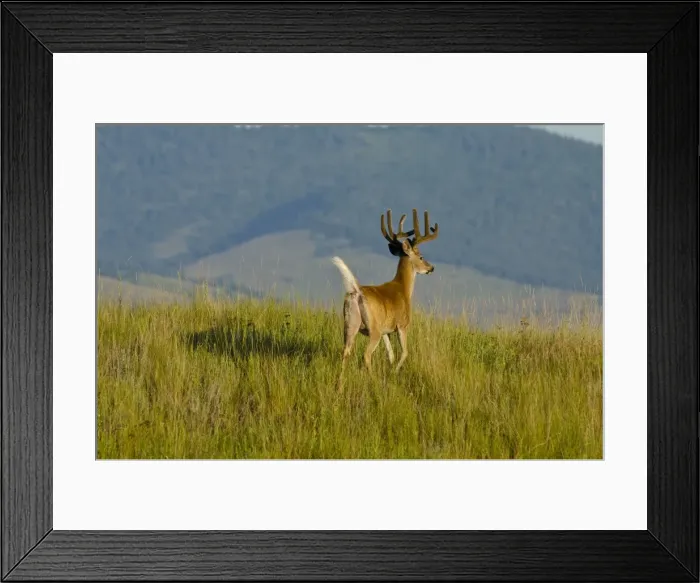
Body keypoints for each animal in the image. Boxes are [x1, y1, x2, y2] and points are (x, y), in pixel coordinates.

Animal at [331, 208, 439, 389]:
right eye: (421, 256)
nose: (431, 268)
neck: (403, 289)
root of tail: (356, 292)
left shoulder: (386, 331)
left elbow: (391, 355)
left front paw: (390, 372)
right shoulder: (401, 325)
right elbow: (404, 353)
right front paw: (393, 373)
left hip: (350, 325)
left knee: (345, 352)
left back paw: (339, 387)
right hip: (373, 329)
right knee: (366, 355)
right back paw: (373, 382)